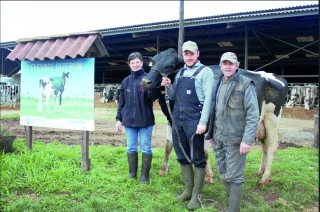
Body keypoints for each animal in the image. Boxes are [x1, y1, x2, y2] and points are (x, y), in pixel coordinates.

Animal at [140, 47, 288, 184]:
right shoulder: (170, 119)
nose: (145, 81)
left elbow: (204, 152)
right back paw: (260, 172)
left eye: (170, 66)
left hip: (272, 118)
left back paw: (265, 178)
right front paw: (163, 171)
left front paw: (208, 176)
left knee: (272, 146)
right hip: (261, 123)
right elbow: (168, 146)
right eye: (153, 63)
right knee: (265, 146)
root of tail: (276, 77)